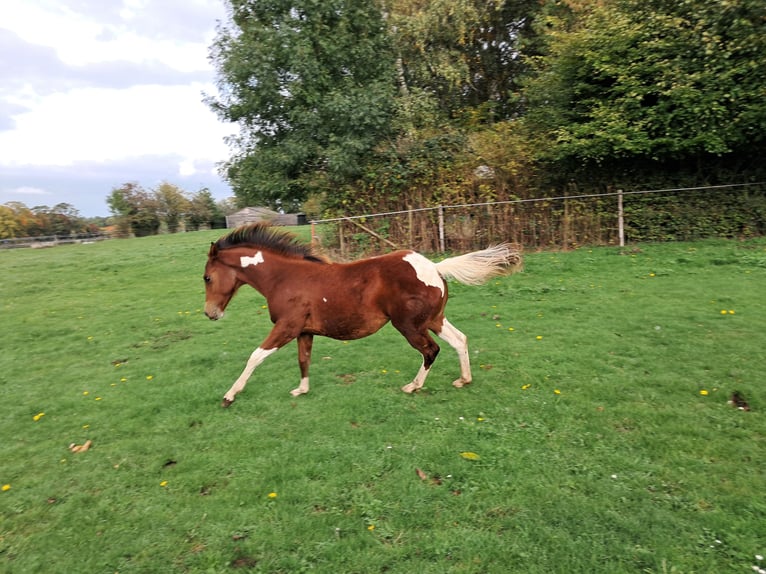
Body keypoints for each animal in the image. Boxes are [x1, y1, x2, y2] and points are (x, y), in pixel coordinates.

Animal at [203, 223, 522, 407]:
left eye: (207, 277)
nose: (210, 313)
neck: (286, 278)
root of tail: (434, 267)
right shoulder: (304, 331)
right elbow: (303, 359)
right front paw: (301, 390)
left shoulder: (287, 326)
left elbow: (255, 356)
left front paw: (230, 395)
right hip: (433, 320)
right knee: (459, 340)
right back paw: (463, 380)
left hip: (409, 325)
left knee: (431, 350)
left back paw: (412, 386)